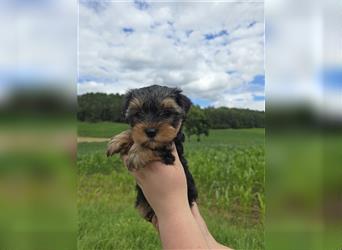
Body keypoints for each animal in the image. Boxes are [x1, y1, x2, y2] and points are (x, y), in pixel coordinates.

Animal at [106, 85, 198, 222]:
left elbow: (157, 147)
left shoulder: (169, 153)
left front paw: (137, 152)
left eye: (166, 112)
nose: (150, 131)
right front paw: (118, 140)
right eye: (138, 113)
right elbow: (134, 132)